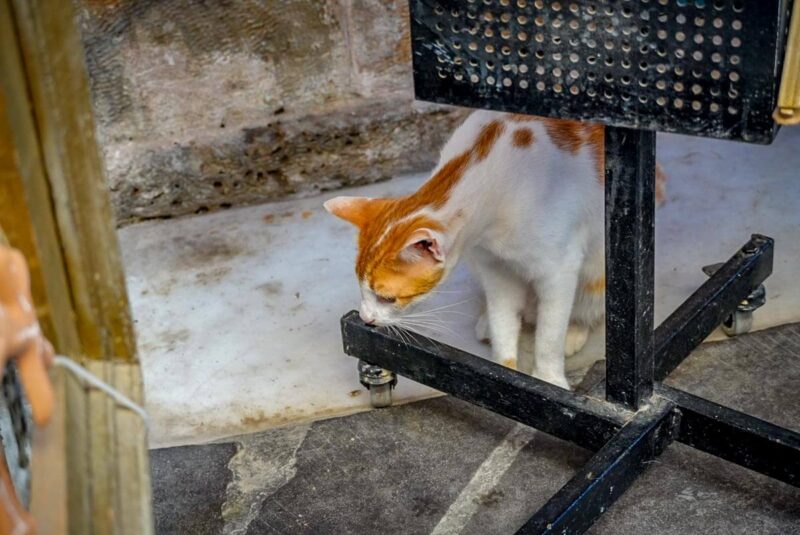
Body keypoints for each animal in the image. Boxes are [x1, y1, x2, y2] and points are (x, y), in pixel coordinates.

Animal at [324, 111, 665, 389]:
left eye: (388, 298)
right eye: (363, 291)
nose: (366, 319)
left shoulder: (559, 269)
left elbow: (548, 334)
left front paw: (549, 378)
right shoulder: (494, 268)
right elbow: (504, 321)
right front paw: (506, 372)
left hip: (599, 268)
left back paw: (574, 329)